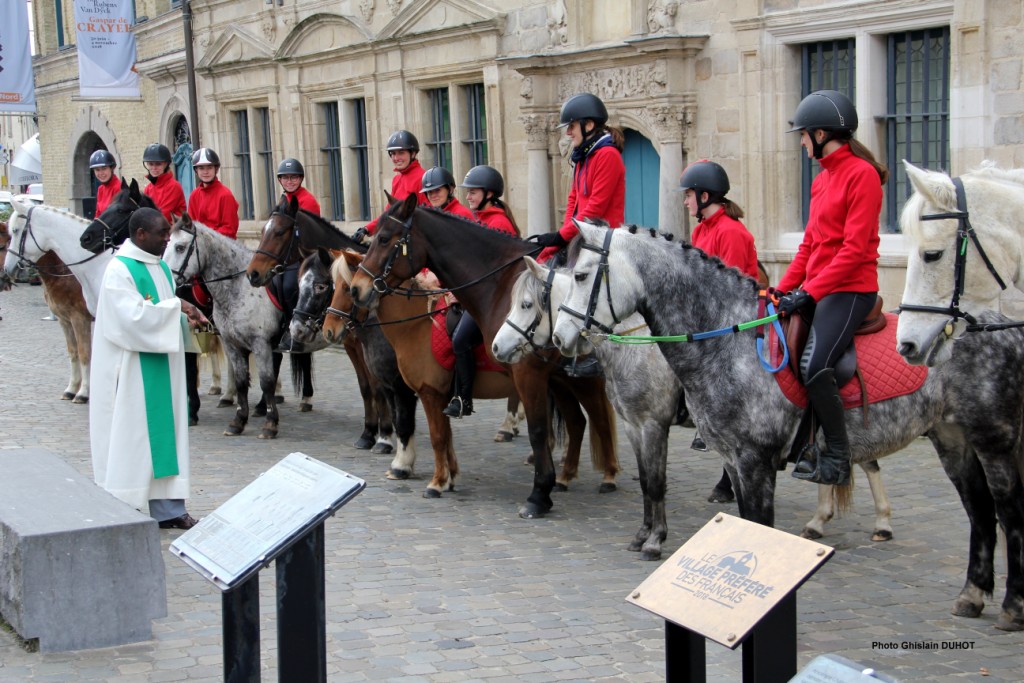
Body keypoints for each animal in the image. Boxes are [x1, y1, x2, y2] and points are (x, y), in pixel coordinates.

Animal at [163, 214, 319, 438]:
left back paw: (303, 399)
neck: (238, 287)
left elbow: (265, 381)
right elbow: (241, 380)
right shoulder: (231, 341)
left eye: (180, 247)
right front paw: (238, 420)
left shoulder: (258, 342)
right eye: (165, 244)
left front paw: (270, 424)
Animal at [344, 196, 618, 518]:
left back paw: (608, 476)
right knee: (577, 422)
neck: (498, 285)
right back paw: (566, 477)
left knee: (600, 418)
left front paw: (538, 495)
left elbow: (537, 431)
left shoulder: (526, 376)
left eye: (386, 238)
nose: (358, 289)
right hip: (560, 380)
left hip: (580, 381)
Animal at [491, 259, 892, 557]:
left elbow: (656, 483)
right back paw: (827, 519)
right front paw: (644, 534)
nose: (496, 347)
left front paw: (654, 540)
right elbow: (647, 483)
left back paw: (878, 523)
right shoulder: (635, 426)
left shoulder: (652, 424)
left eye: (526, 305)